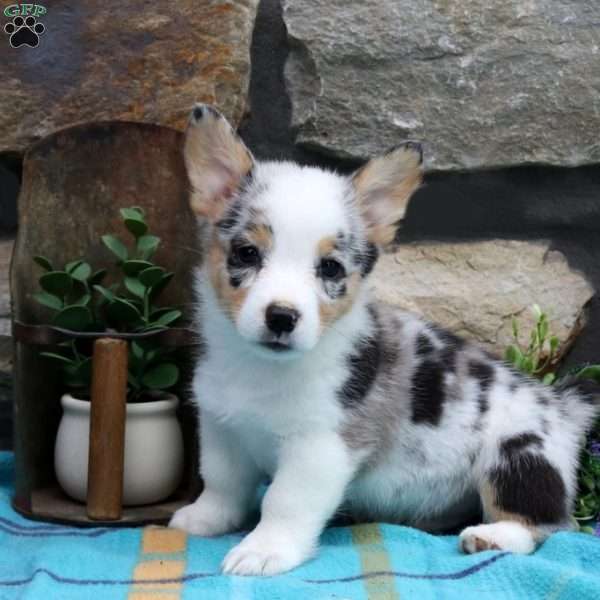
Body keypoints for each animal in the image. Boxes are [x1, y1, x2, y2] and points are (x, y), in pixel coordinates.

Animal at [170, 104, 600, 576]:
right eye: (247, 253)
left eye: (331, 268)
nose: (282, 316)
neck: (261, 368)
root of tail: (564, 405)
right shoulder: (221, 427)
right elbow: (221, 481)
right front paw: (206, 519)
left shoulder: (320, 447)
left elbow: (284, 502)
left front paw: (264, 549)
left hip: (517, 455)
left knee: (548, 524)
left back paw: (492, 536)